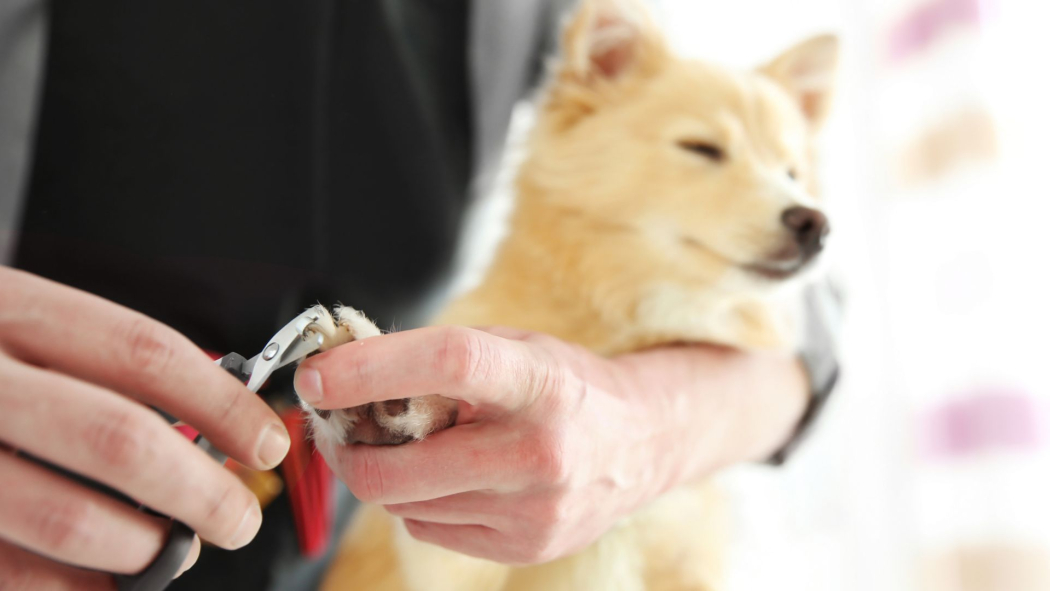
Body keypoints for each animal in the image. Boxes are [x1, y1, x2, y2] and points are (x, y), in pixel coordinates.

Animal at [302, 0, 835, 587]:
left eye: (792, 173)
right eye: (702, 148)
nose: (815, 224)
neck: (618, 321)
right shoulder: (450, 562)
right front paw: (405, 400)